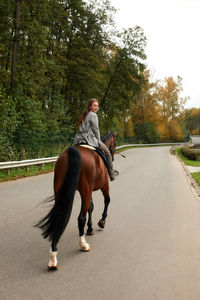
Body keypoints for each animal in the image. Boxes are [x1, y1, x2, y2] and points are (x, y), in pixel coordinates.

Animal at [35, 131, 117, 270]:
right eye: (115, 143)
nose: (113, 155)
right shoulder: (104, 186)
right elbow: (107, 201)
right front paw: (101, 222)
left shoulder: (89, 191)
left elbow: (90, 207)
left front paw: (89, 229)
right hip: (86, 190)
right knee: (80, 218)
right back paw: (83, 245)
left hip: (61, 189)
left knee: (59, 216)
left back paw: (53, 256)